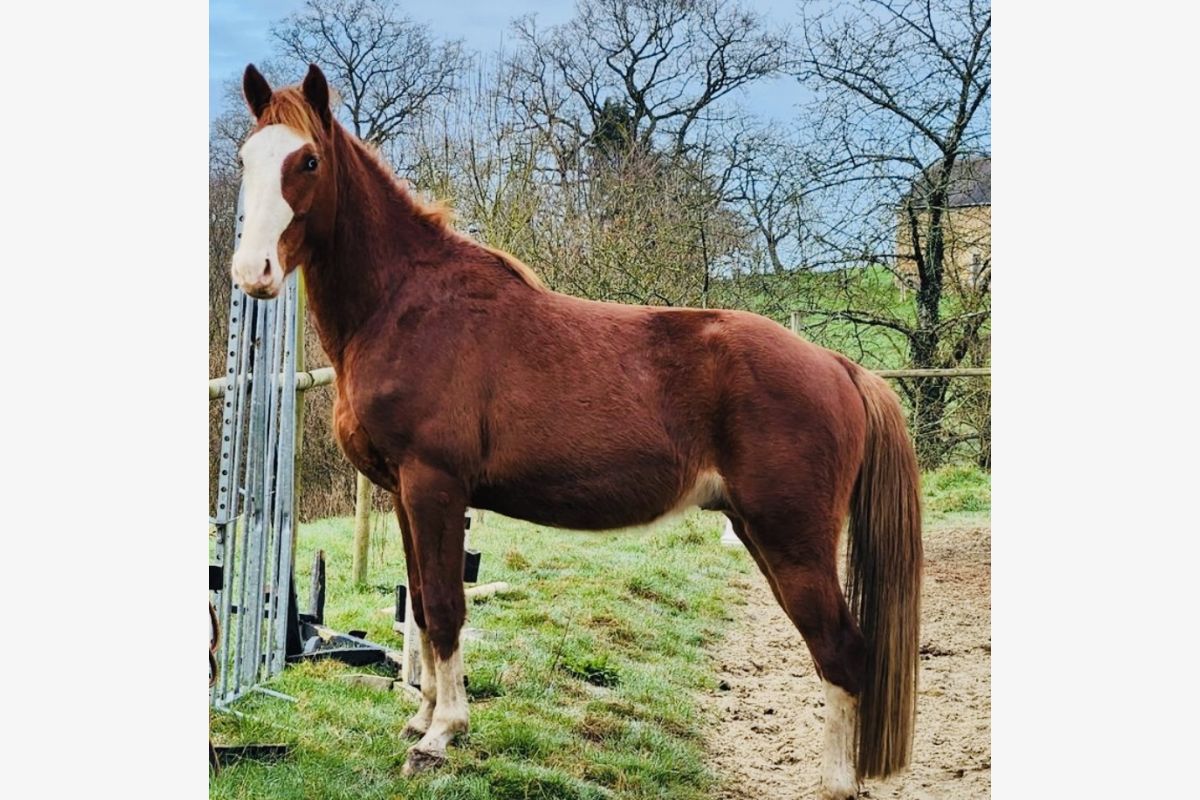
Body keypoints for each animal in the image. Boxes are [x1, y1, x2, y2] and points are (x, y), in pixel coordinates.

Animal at [230, 63, 922, 799]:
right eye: (246, 158)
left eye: (308, 160)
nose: (252, 273)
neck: (405, 306)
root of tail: (839, 366)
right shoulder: (403, 496)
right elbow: (418, 606)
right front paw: (421, 719)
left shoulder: (433, 485)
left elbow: (445, 608)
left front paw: (442, 737)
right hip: (760, 532)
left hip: (792, 538)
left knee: (841, 651)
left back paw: (835, 782)